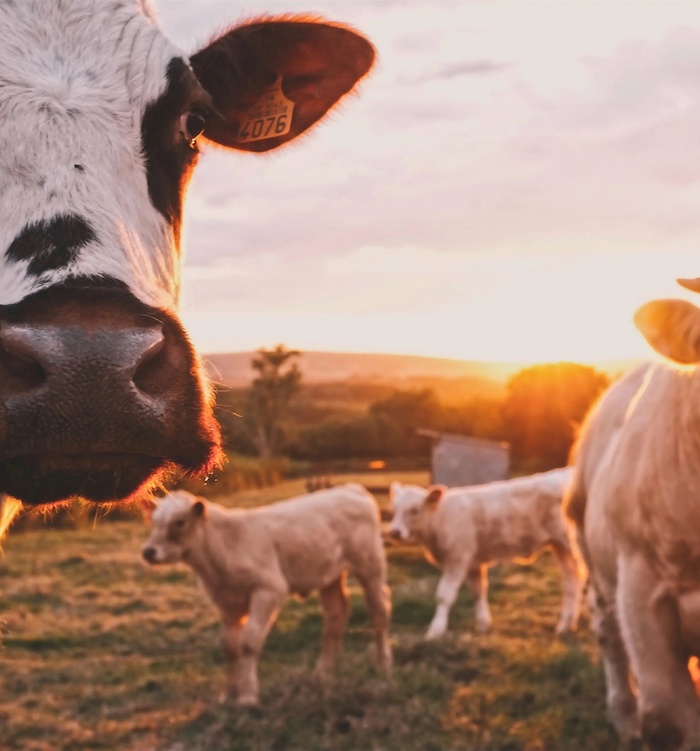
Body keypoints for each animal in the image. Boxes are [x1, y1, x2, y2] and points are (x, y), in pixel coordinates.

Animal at [141, 485, 392, 707]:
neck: (222, 549)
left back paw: (382, 664)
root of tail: (350, 489)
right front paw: (228, 695)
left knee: (379, 609)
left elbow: (248, 642)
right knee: (336, 613)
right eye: (154, 521)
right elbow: (229, 647)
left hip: (371, 566)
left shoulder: (269, 589)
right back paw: (323, 671)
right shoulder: (226, 602)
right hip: (329, 575)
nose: (148, 551)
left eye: (179, 522)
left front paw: (248, 696)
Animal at [389, 470, 583, 638]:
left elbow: (444, 595)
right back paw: (566, 625)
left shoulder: (457, 558)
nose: (395, 532)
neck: (440, 519)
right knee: (572, 581)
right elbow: (478, 592)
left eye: (415, 509)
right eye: (394, 509)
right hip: (560, 546)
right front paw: (483, 624)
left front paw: (436, 630)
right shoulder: (474, 562)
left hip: (571, 544)